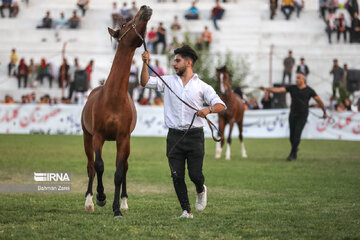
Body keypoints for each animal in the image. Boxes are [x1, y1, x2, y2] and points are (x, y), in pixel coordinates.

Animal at [81, 5, 153, 218]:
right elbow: (99, 166)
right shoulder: (98, 135)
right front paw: (100, 197)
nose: (145, 7)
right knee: (90, 166)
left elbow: (119, 173)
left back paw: (124, 202)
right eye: (124, 24)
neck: (112, 98)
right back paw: (89, 201)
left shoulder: (123, 138)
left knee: (125, 168)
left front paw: (117, 209)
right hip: (86, 136)